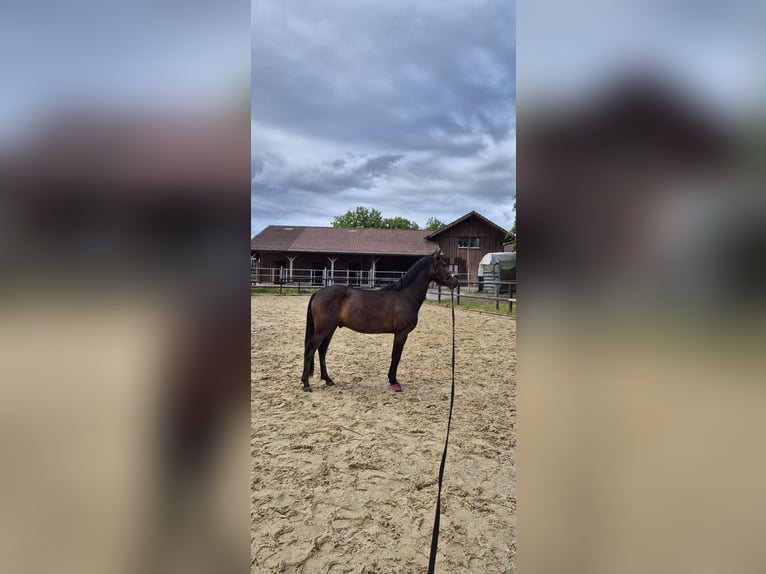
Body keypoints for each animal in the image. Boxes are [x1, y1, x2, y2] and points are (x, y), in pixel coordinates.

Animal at [301, 250, 459, 392]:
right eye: (444, 264)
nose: (455, 282)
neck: (406, 296)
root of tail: (318, 292)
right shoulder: (401, 333)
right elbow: (396, 356)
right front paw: (394, 382)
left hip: (330, 329)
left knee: (322, 350)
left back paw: (328, 379)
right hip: (323, 330)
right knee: (310, 350)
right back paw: (306, 385)